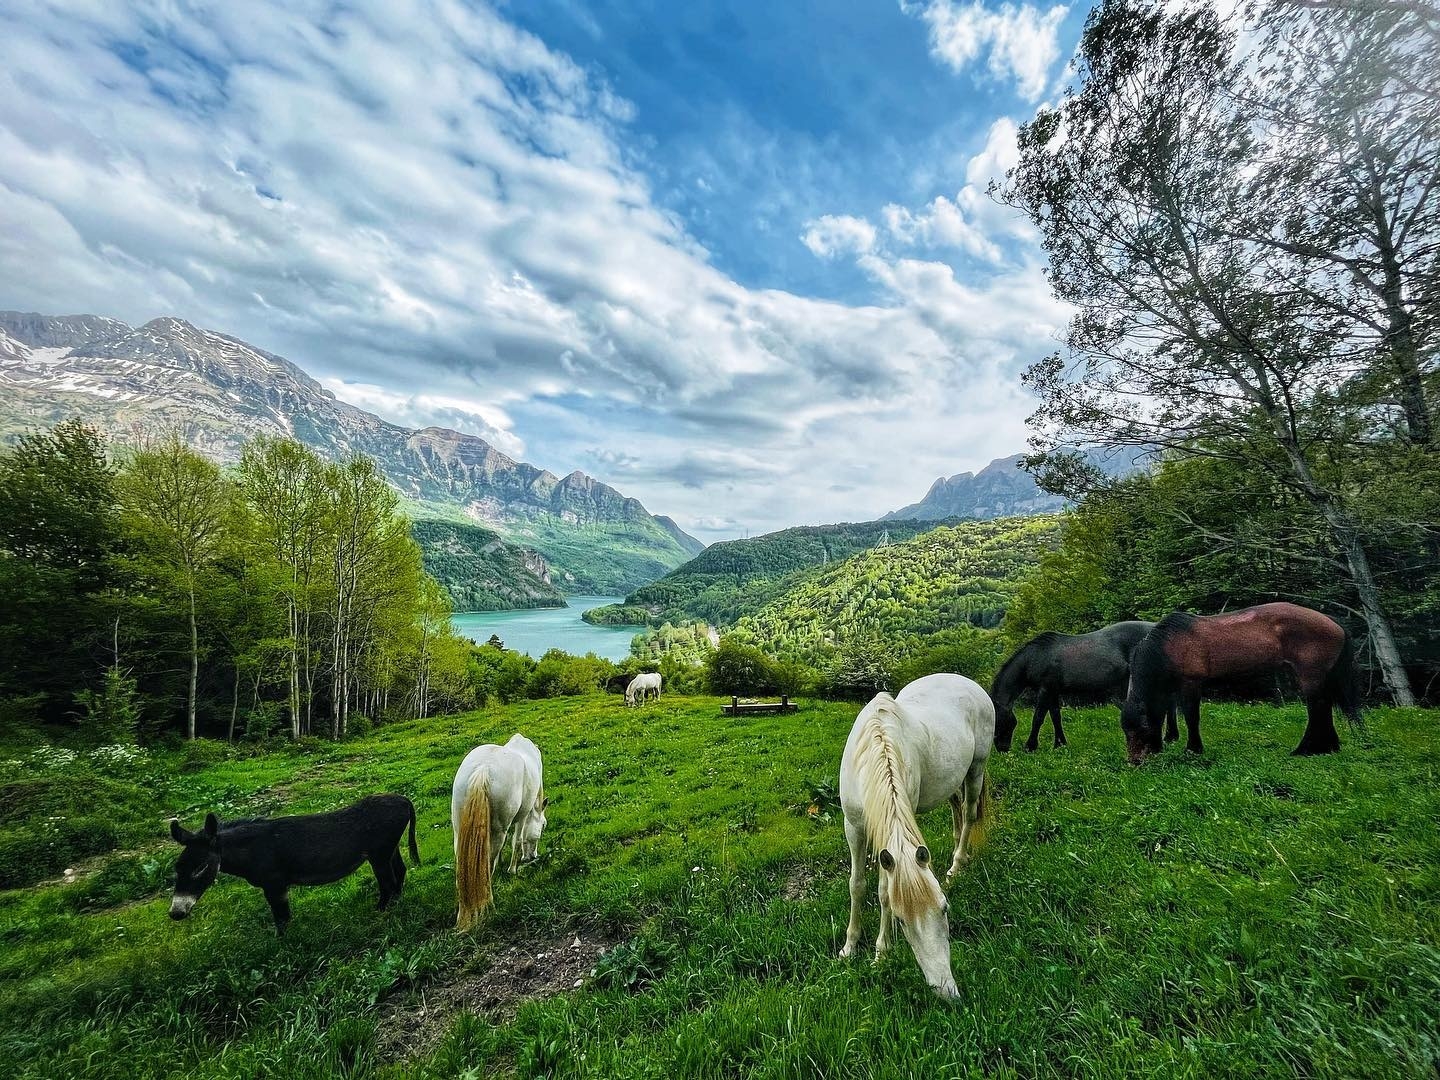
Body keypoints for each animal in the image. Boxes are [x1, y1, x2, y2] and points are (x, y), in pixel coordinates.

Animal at [169, 789, 420, 933]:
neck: (252, 851)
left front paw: (284, 946)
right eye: (177, 868)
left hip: (379, 854)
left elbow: (282, 918)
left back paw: (380, 913)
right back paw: (394, 905)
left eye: (201, 867)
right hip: (389, 849)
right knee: (400, 872)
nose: (175, 913)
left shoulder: (275, 884)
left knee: (388, 882)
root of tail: (405, 800)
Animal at [449, 737, 544, 933]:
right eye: (543, 826)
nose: (533, 856)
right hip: (498, 829)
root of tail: (483, 769)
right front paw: (512, 869)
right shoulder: (522, 815)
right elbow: (517, 841)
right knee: (487, 868)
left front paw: (501, 862)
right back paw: (488, 905)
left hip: (458, 831)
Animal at [840, 673, 996, 1002]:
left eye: (945, 908)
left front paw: (881, 953)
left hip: (976, 768)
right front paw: (849, 947)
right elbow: (856, 885)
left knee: (968, 814)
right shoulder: (853, 828)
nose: (946, 990)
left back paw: (957, 865)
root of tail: (966, 681)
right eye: (901, 920)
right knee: (957, 810)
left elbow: (884, 892)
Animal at [996, 624, 1175, 754]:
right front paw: (1060, 744)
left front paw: (1030, 746)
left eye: (999, 720)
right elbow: (1055, 717)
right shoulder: (1053, 691)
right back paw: (1170, 738)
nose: (1002, 749)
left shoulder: (1045, 690)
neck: (1036, 657)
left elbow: (1038, 718)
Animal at [1123, 604, 1359, 766]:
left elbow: (1191, 717)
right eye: (1125, 729)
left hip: (1311, 676)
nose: (1135, 761)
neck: (1169, 645)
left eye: (1142, 728)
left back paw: (1308, 749)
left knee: (1317, 707)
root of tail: (1331, 621)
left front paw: (1193, 749)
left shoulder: (1190, 684)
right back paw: (1327, 746)